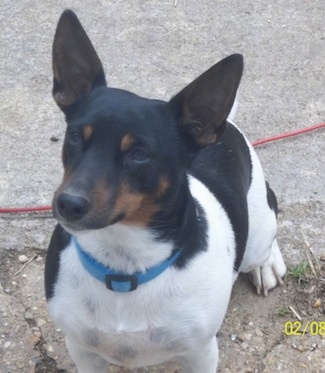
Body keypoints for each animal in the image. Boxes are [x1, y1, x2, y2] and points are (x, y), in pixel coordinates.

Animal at [45, 9, 286, 372]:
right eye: (74, 136)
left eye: (139, 154)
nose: (68, 204)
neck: (123, 265)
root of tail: (224, 127)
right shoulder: (82, 349)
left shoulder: (201, 352)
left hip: (258, 231)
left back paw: (266, 264)